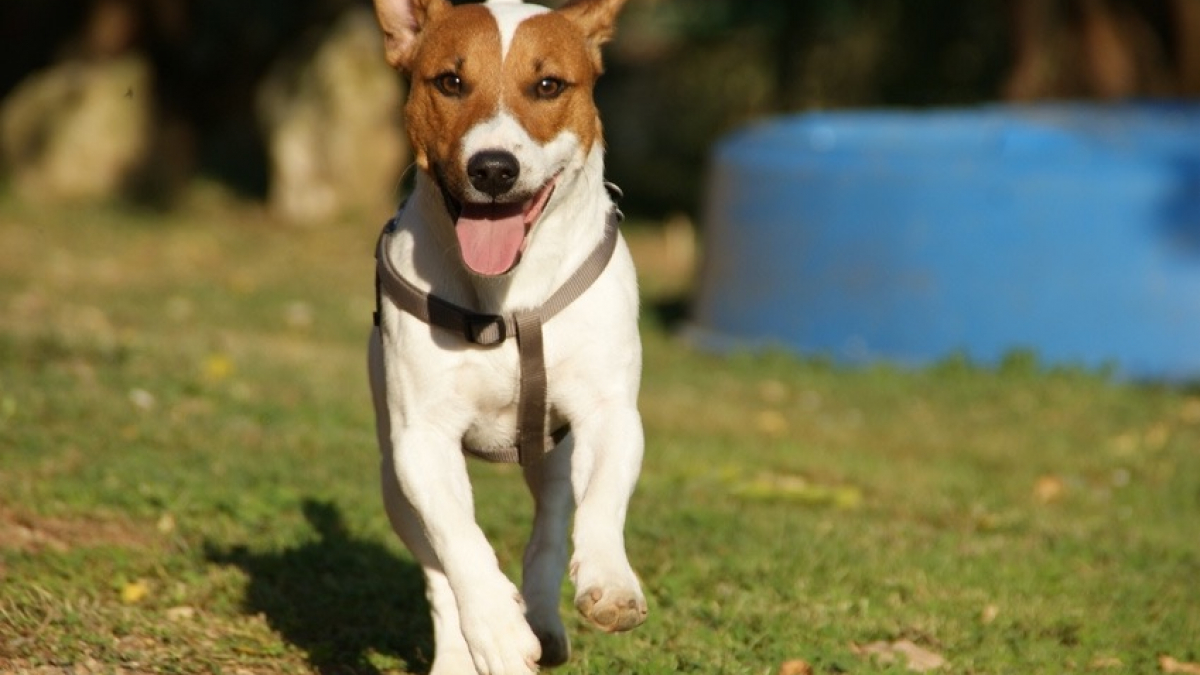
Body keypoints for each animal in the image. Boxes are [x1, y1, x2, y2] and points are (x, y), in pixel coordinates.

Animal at [364, 1, 648, 672]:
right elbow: (460, 542)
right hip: (393, 481)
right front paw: (495, 629)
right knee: (438, 571)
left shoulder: (610, 412)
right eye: (450, 81)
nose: (493, 168)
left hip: (552, 458)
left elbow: (602, 500)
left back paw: (544, 618)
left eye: (547, 85)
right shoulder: (422, 441)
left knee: (550, 525)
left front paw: (611, 583)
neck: (507, 297)